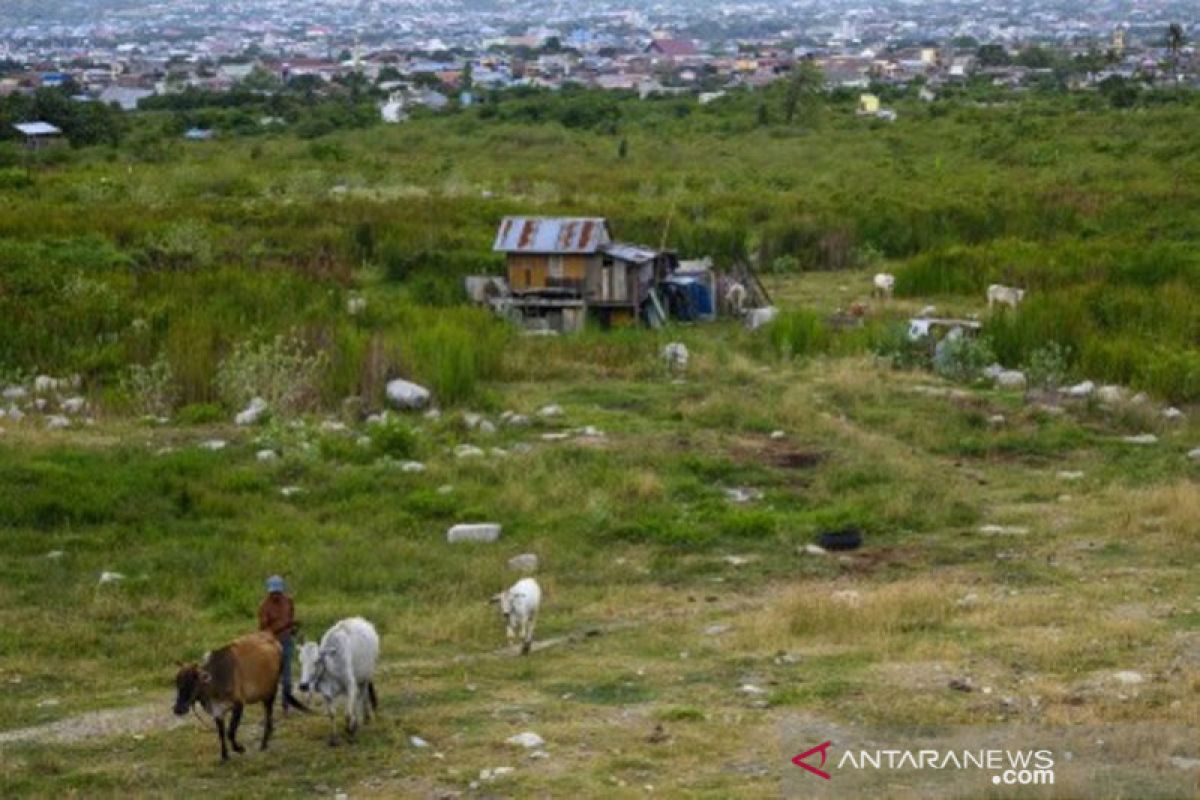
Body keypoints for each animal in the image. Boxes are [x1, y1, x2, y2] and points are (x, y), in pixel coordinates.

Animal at [176, 633, 312, 762]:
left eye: (192, 683)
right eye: (177, 684)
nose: (177, 709)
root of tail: (276, 643)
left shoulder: (239, 704)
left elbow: (230, 732)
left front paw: (239, 748)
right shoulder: (218, 711)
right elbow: (221, 734)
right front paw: (224, 756)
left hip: (269, 692)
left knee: (268, 717)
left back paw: (264, 743)